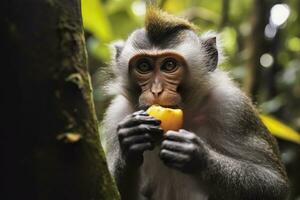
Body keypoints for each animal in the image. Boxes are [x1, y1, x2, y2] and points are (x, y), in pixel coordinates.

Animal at [99, 6, 290, 200]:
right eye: (144, 66)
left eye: (169, 65)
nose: (156, 91)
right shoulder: (116, 114)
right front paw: (130, 140)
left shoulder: (233, 106)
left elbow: (274, 183)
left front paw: (197, 156)